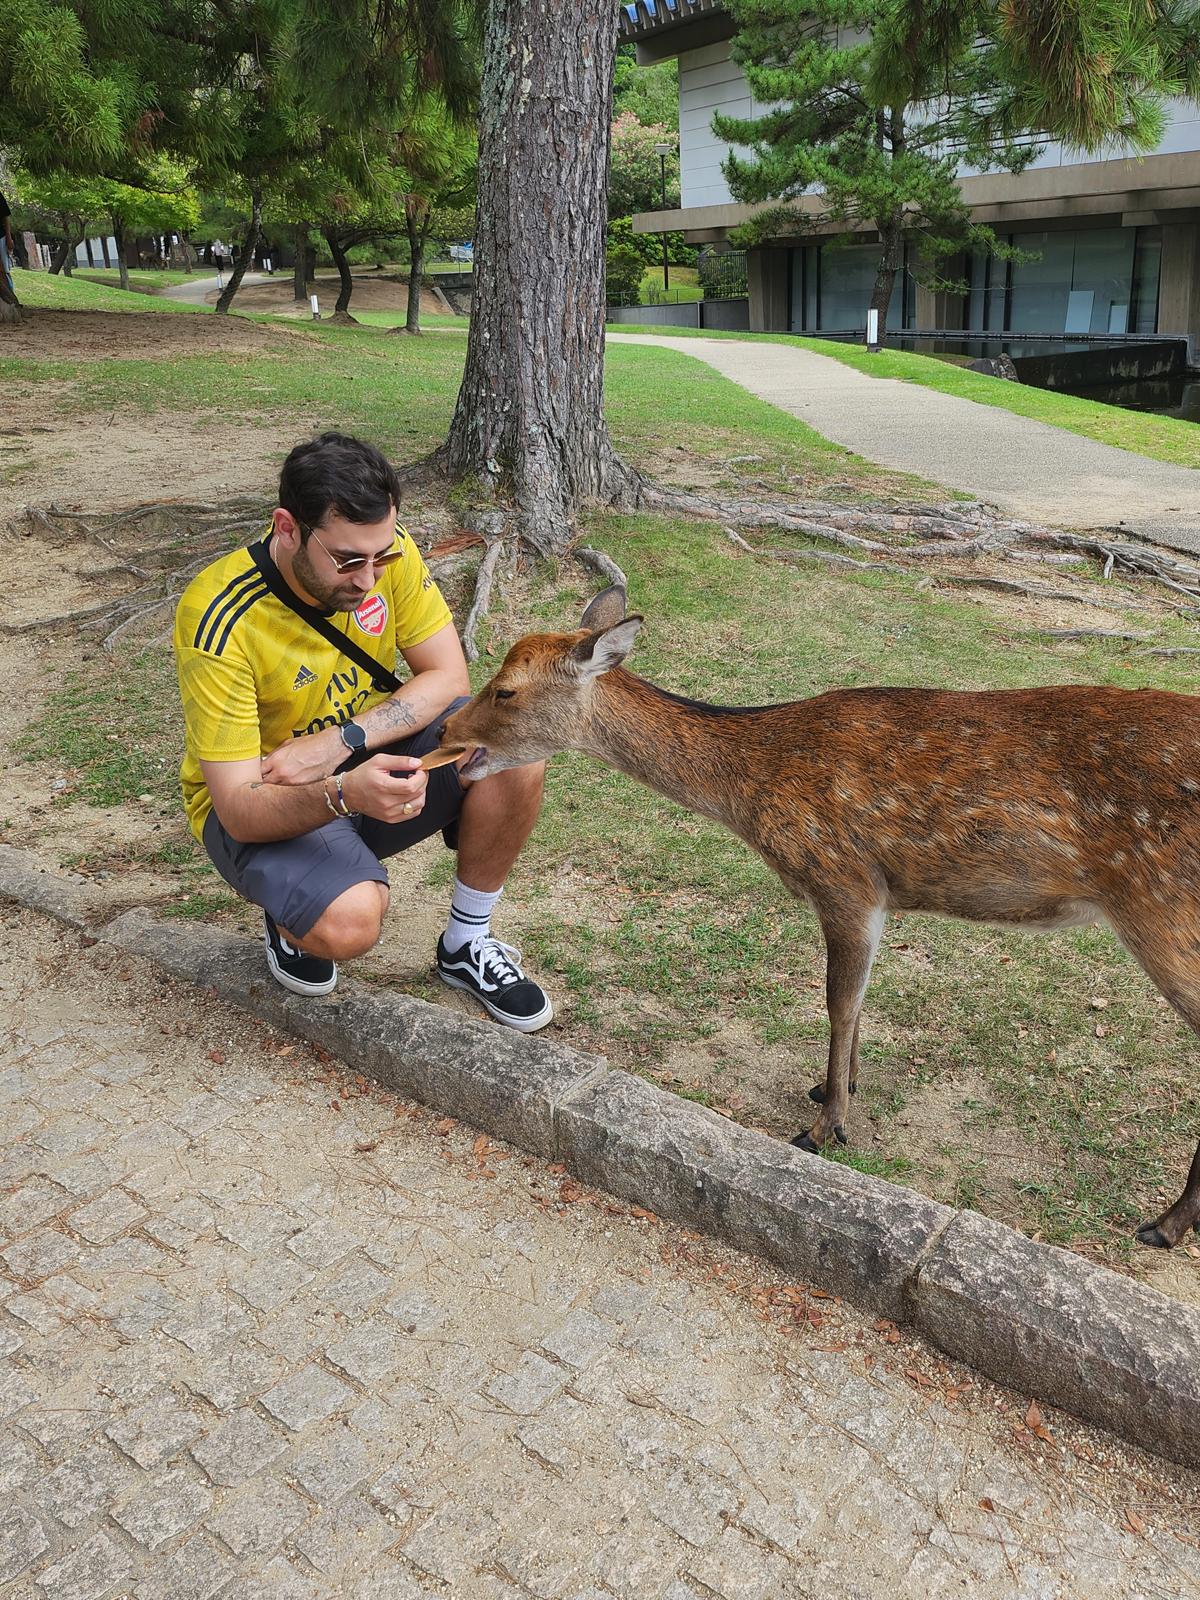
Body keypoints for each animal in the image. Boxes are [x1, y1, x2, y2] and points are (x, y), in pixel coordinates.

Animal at [436, 586, 1200, 1250]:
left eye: (507, 690)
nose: (445, 728)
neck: (752, 789)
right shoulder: (873, 896)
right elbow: (860, 999)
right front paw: (840, 1087)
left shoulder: (844, 878)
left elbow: (838, 1001)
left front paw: (826, 1126)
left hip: (1163, 909)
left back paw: (1164, 1225)